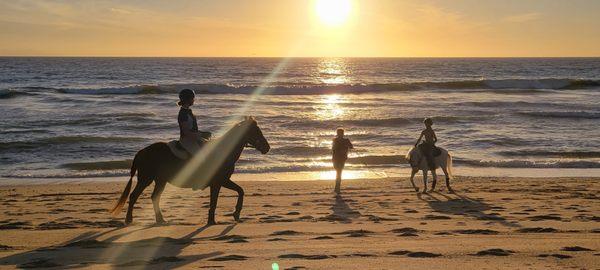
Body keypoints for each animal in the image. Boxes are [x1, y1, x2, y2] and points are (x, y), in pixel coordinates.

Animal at [109, 118, 270, 226]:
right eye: (256, 132)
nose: (267, 148)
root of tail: (142, 151)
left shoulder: (221, 181)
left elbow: (239, 191)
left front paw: (234, 214)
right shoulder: (219, 182)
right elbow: (218, 200)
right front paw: (217, 219)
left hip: (160, 180)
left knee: (154, 197)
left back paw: (160, 219)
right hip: (146, 179)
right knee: (134, 196)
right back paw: (129, 220)